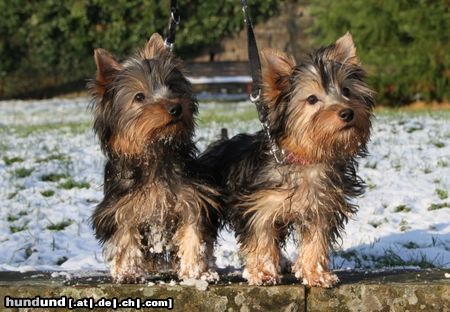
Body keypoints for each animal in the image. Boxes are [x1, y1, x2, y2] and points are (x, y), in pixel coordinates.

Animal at [89, 33, 220, 282]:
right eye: (139, 96)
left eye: (172, 87)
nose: (176, 108)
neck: (155, 153)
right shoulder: (121, 206)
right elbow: (125, 236)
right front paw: (128, 272)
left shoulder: (191, 197)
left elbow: (193, 232)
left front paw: (196, 273)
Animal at [202, 32, 374, 288]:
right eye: (311, 99)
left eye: (346, 91)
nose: (347, 112)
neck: (306, 158)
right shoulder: (259, 205)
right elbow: (261, 237)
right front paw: (263, 272)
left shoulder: (321, 207)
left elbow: (315, 241)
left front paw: (316, 274)